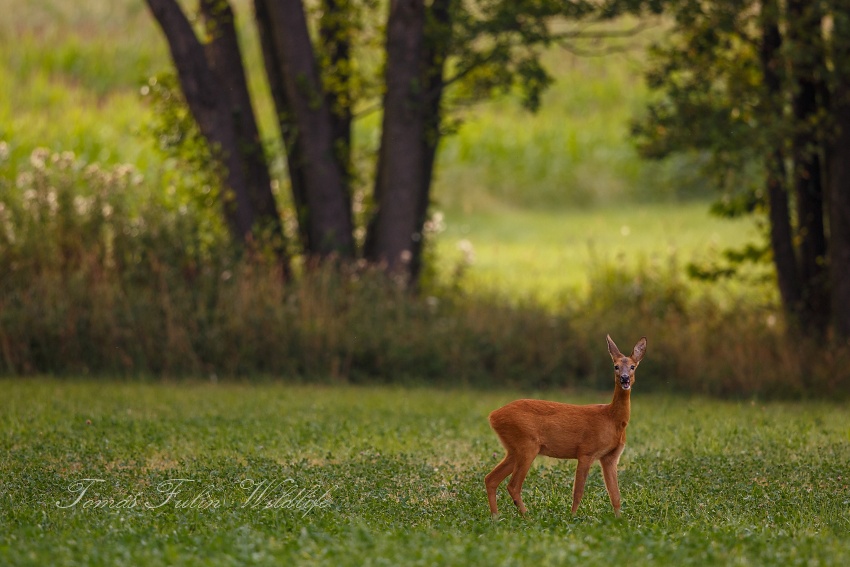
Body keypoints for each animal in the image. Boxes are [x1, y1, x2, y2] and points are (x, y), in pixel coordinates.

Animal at [485, 335, 646, 518]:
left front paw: (619, 520)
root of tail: (493, 416)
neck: (611, 419)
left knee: (491, 479)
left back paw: (496, 517)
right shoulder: (586, 451)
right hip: (527, 444)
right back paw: (528, 518)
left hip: (514, 449)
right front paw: (573, 517)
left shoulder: (610, 457)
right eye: (616, 366)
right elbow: (578, 492)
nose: (625, 378)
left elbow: (615, 495)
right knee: (512, 485)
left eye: (633, 366)